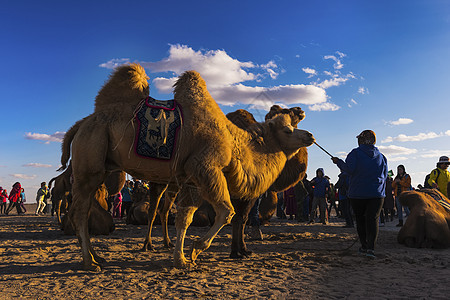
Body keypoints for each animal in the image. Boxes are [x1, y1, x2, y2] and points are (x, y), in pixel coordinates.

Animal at [61, 64, 314, 270]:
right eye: (288, 129)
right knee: (80, 210)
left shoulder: (191, 180)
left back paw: (98, 257)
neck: (234, 144)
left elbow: (185, 218)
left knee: (83, 209)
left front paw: (181, 259)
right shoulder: (205, 168)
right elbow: (227, 212)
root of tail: (80, 125)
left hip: (100, 165)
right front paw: (195, 250)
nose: (310, 135)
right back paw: (90, 263)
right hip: (90, 161)